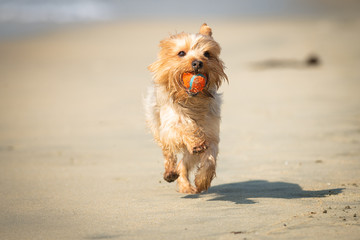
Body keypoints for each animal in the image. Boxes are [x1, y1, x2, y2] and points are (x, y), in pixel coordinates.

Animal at [145, 23, 226, 193]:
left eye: (207, 54)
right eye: (181, 53)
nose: (198, 63)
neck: (191, 102)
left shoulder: (212, 134)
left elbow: (210, 158)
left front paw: (202, 180)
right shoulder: (170, 126)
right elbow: (183, 128)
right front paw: (195, 139)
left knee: (183, 164)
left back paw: (186, 185)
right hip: (156, 123)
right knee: (168, 152)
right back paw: (170, 172)